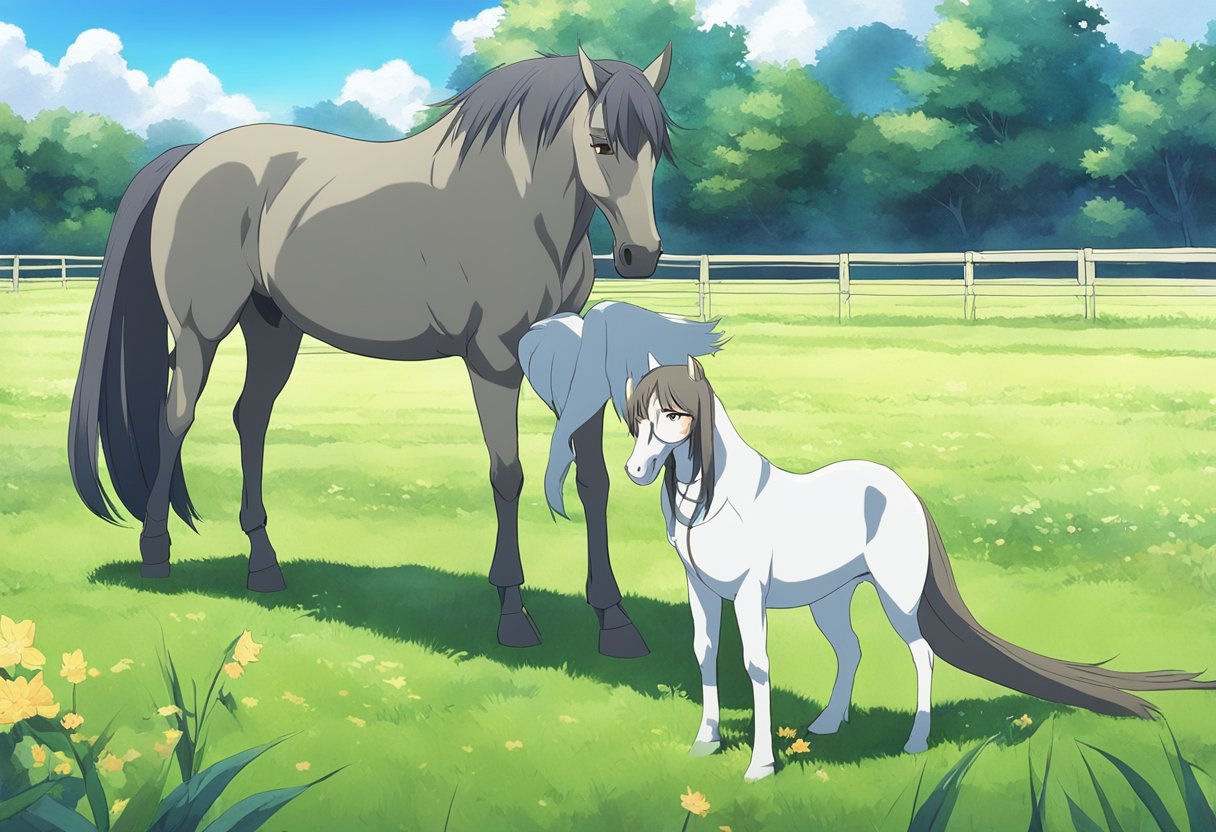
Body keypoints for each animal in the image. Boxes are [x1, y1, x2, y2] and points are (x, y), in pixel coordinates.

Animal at [67, 46, 675, 656]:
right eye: (600, 142)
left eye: (657, 148)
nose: (639, 255)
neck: (521, 210)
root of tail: (190, 157)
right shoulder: (494, 362)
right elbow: (508, 475)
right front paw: (513, 614)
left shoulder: (570, 362)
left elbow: (593, 480)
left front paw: (615, 621)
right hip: (200, 331)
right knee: (176, 420)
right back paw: (156, 555)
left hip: (273, 328)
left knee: (251, 418)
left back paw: (264, 568)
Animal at [623, 356, 1216, 781]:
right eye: (638, 419)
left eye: (675, 414)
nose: (635, 470)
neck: (720, 498)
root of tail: (903, 491)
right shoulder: (701, 588)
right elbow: (705, 653)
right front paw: (705, 742)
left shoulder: (748, 593)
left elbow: (756, 665)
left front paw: (761, 766)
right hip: (832, 598)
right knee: (851, 651)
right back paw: (829, 724)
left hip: (896, 598)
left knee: (922, 655)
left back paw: (915, 741)